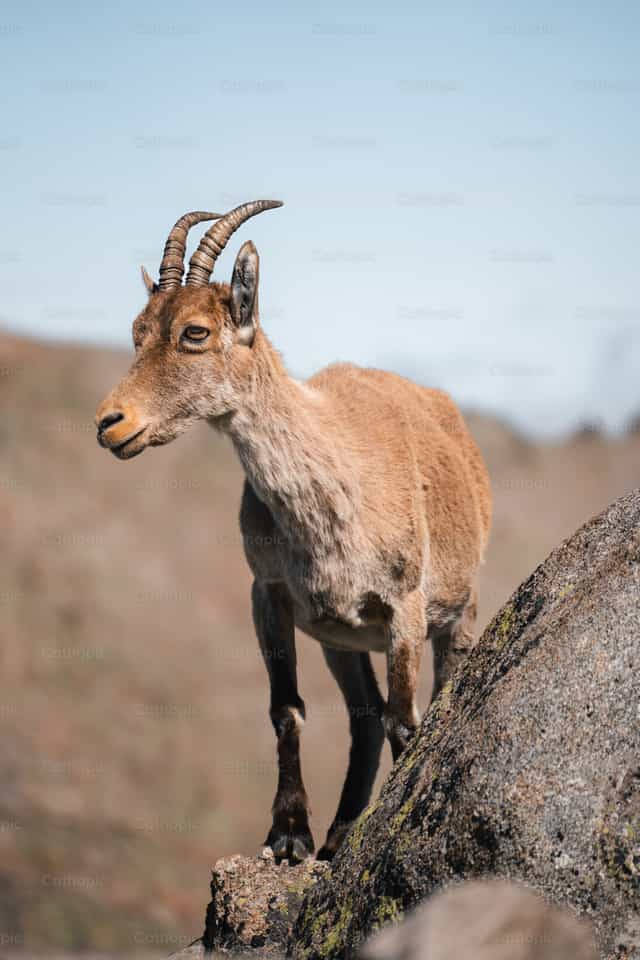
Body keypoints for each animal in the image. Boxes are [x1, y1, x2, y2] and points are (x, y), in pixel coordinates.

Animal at [95, 201, 491, 862]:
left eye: (194, 332)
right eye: (137, 331)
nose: (110, 423)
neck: (330, 498)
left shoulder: (403, 605)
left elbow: (406, 718)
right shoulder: (270, 596)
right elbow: (287, 709)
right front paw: (289, 834)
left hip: (457, 612)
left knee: (421, 700)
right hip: (341, 641)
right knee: (363, 718)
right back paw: (338, 834)